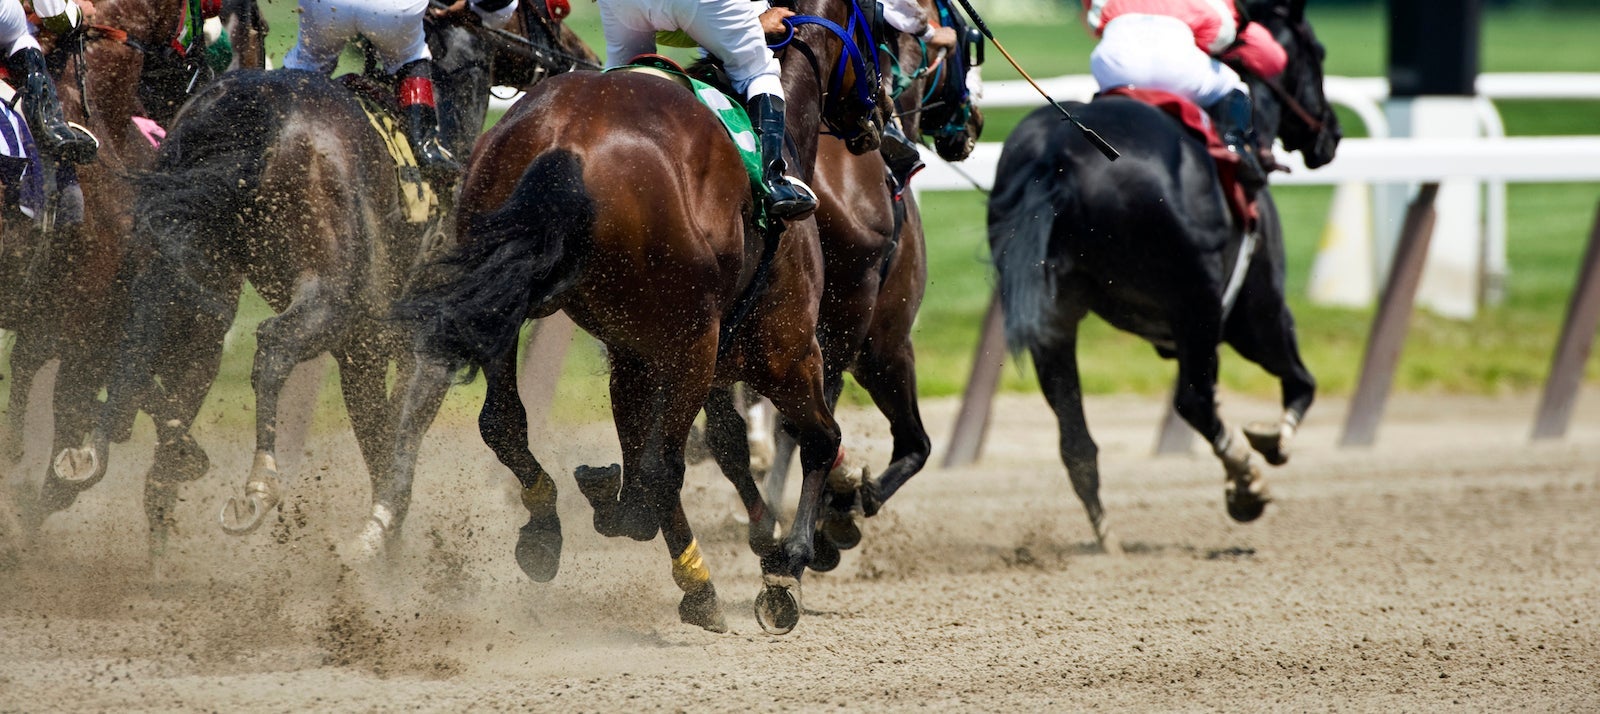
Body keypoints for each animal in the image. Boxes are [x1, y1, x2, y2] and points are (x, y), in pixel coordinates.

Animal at [47, 6, 593, 554]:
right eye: (545, 10)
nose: (581, 55)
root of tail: (259, 112)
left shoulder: (362, 349)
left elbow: (378, 441)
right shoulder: (418, 340)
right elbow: (400, 442)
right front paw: (382, 536)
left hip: (191, 253)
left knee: (146, 317)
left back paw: (94, 451)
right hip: (329, 294)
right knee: (271, 346)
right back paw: (258, 486)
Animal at [397, 0, 886, 635]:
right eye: (880, 25)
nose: (883, 123)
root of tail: (567, 140)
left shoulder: (633, 351)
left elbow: (646, 456)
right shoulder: (786, 349)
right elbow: (819, 439)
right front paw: (788, 568)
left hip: (508, 296)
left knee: (505, 423)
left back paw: (548, 530)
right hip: (696, 342)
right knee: (661, 467)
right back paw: (696, 582)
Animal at [986, 0, 1341, 550]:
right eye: (1318, 53)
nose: (1332, 135)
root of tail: (1059, 155)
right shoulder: (1256, 312)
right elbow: (1301, 382)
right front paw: (1269, 444)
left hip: (1053, 317)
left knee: (1076, 440)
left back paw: (1107, 537)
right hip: (1199, 304)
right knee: (1194, 400)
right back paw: (1246, 485)